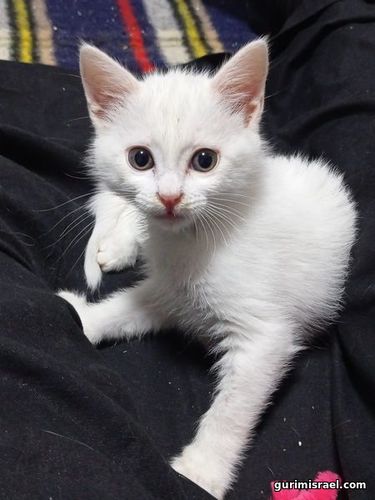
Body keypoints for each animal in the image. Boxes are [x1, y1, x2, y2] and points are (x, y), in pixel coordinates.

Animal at [58, 41, 356, 498]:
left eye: (204, 160)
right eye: (140, 159)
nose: (169, 198)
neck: (192, 242)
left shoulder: (263, 338)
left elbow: (232, 410)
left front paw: (201, 471)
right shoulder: (169, 291)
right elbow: (125, 307)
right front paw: (85, 318)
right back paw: (119, 245)